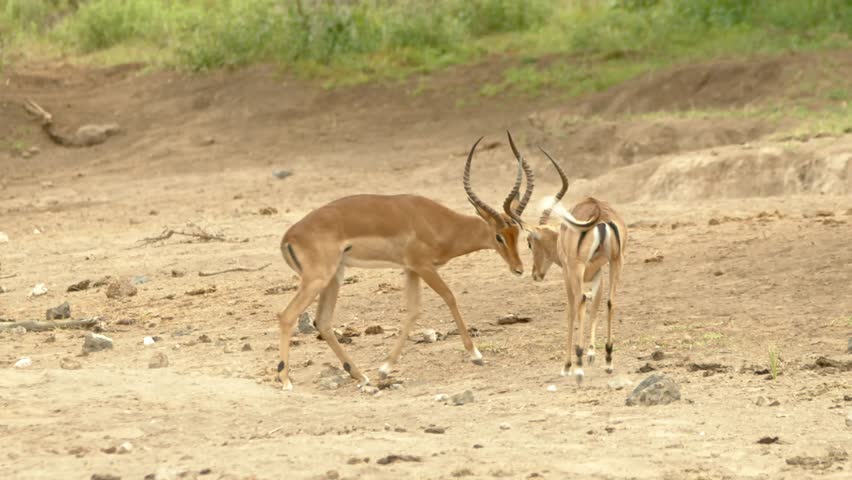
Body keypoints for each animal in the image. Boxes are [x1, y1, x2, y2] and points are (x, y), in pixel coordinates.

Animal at [274, 132, 534, 390]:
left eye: (518, 232)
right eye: (499, 236)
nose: (518, 269)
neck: (439, 223)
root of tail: (288, 236)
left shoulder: (411, 270)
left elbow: (413, 311)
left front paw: (384, 369)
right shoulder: (424, 267)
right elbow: (449, 297)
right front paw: (476, 355)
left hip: (334, 276)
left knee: (323, 322)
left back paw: (361, 376)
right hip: (317, 279)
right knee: (287, 316)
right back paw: (286, 380)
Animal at [524, 148, 627, 384]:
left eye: (529, 243)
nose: (535, 274)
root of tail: (600, 215)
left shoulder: (568, 272)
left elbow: (572, 310)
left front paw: (568, 365)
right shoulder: (598, 272)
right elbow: (595, 305)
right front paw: (591, 354)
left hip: (578, 268)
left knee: (579, 301)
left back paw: (578, 367)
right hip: (617, 261)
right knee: (610, 301)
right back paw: (608, 360)